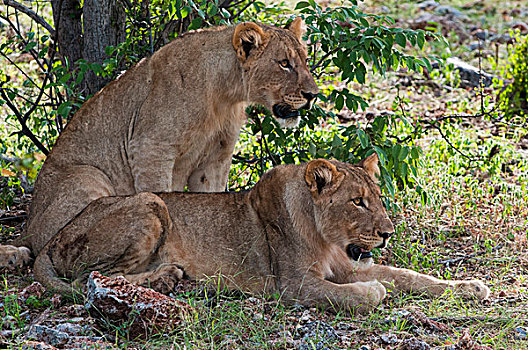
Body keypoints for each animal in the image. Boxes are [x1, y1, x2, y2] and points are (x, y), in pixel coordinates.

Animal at [33, 156, 488, 312]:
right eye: (357, 202)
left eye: (376, 199)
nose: (388, 233)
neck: (327, 239)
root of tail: (54, 236)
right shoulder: (294, 285)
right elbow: (352, 293)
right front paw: (373, 292)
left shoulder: (347, 265)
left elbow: (410, 276)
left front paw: (470, 287)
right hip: (149, 204)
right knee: (94, 277)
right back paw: (166, 277)